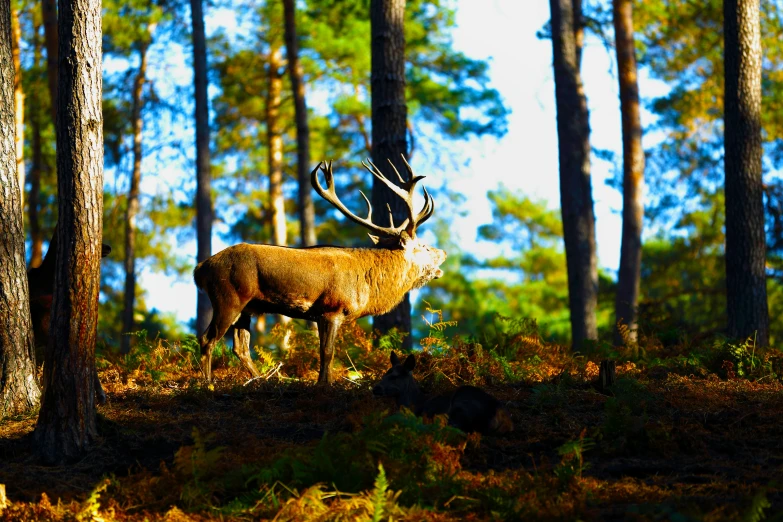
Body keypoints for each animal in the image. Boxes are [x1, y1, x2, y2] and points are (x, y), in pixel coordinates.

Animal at [194, 157, 448, 382]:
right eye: (424, 247)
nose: (443, 253)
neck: (368, 287)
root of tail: (200, 269)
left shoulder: (318, 315)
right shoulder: (332, 309)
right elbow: (327, 353)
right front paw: (324, 384)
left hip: (247, 308)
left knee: (241, 348)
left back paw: (261, 380)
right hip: (228, 297)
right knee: (207, 339)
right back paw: (208, 383)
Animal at [374, 352, 516, 432]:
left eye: (394, 377)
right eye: (385, 374)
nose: (375, 388)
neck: (413, 404)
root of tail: (506, 421)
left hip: (462, 404)